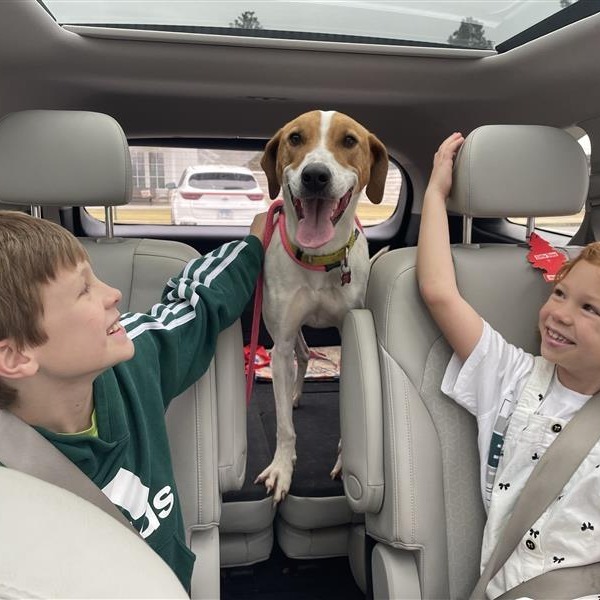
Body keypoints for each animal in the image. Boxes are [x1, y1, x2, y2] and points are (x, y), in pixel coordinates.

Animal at [254, 111, 390, 502]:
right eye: (295, 138)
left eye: (349, 141)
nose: (315, 176)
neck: (320, 258)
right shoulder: (281, 342)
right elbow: (284, 425)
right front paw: (282, 469)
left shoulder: (352, 340)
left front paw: (347, 460)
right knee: (299, 356)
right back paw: (294, 394)